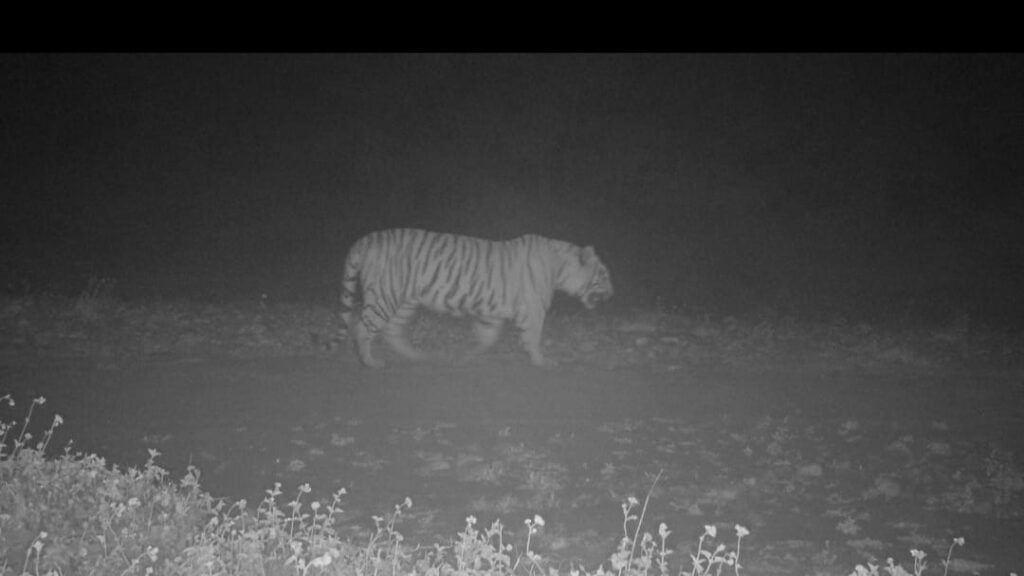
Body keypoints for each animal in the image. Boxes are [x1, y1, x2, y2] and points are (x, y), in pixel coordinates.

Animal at [340, 228, 613, 368]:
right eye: (603, 274)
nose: (613, 293)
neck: (560, 268)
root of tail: (366, 239)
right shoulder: (534, 309)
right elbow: (533, 337)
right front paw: (542, 361)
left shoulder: (492, 312)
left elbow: (487, 336)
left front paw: (469, 354)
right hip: (385, 296)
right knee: (361, 327)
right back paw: (369, 361)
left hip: (405, 301)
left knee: (392, 331)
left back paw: (417, 357)